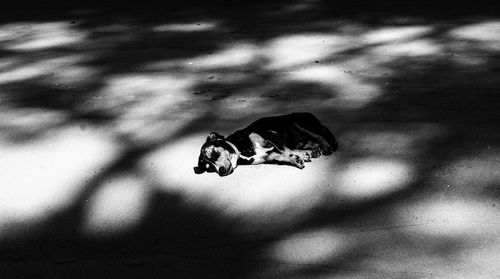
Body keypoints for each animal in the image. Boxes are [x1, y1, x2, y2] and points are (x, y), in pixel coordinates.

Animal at [193, 112, 338, 176]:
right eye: (210, 168)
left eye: (214, 153)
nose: (221, 172)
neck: (241, 151)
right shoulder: (269, 156)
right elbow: (284, 155)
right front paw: (296, 159)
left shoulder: (271, 136)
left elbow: (285, 150)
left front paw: (298, 157)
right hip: (301, 141)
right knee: (310, 144)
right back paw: (312, 151)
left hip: (299, 124)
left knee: (319, 136)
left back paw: (326, 147)